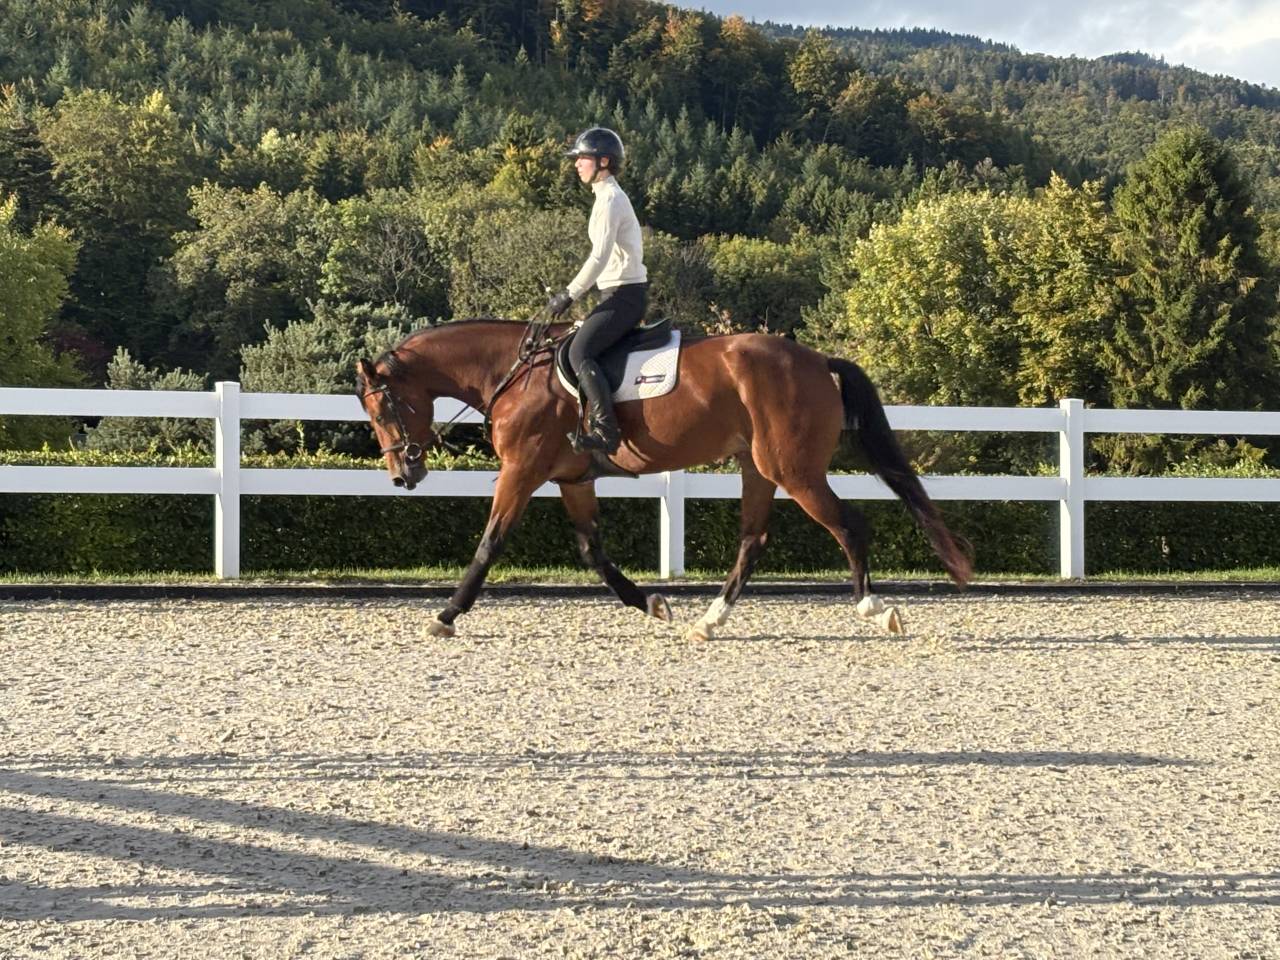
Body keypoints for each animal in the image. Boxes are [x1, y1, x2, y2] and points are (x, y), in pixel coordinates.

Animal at [355, 318, 972, 640]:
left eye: (383, 408)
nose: (403, 473)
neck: (514, 374)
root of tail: (819, 360)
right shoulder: (572, 478)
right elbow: (592, 551)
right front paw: (650, 602)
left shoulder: (522, 471)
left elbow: (490, 542)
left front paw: (446, 614)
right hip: (757, 466)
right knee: (754, 538)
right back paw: (708, 620)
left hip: (792, 469)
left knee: (848, 525)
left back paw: (876, 608)